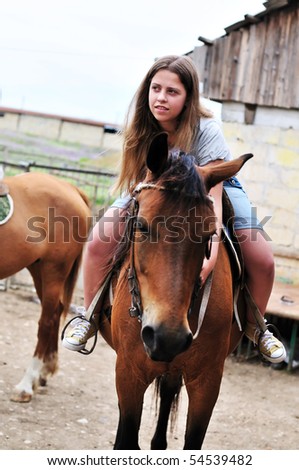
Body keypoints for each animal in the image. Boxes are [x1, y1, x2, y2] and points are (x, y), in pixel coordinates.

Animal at [0, 172, 91, 400]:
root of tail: (71, 188)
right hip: (37, 268)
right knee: (57, 311)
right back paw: (44, 371)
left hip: (53, 271)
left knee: (47, 321)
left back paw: (26, 384)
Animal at [100, 133, 253, 452]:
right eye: (141, 225)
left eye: (208, 234)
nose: (166, 336)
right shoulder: (129, 374)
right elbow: (126, 440)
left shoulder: (207, 380)